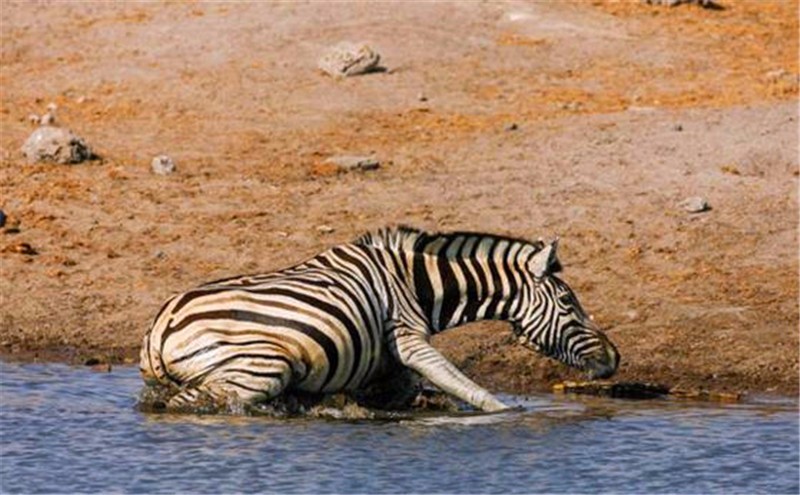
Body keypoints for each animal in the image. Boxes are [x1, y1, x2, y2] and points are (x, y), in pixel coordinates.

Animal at [141, 227, 620, 412]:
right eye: (568, 302)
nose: (615, 358)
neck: (415, 282)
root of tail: (163, 327)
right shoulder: (407, 337)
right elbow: (469, 388)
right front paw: (507, 414)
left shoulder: (389, 362)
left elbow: (409, 390)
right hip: (259, 369)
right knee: (187, 404)